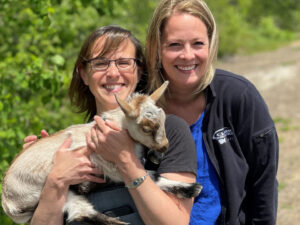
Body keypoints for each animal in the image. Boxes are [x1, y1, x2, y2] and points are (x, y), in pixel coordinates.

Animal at [1, 81, 202, 225]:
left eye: (163, 118)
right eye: (146, 128)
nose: (164, 147)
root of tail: (7, 204)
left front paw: (192, 188)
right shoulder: (114, 169)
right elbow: (153, 175)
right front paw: (191, 187)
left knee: (80, 211)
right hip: (48, 189)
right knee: (80, 212)